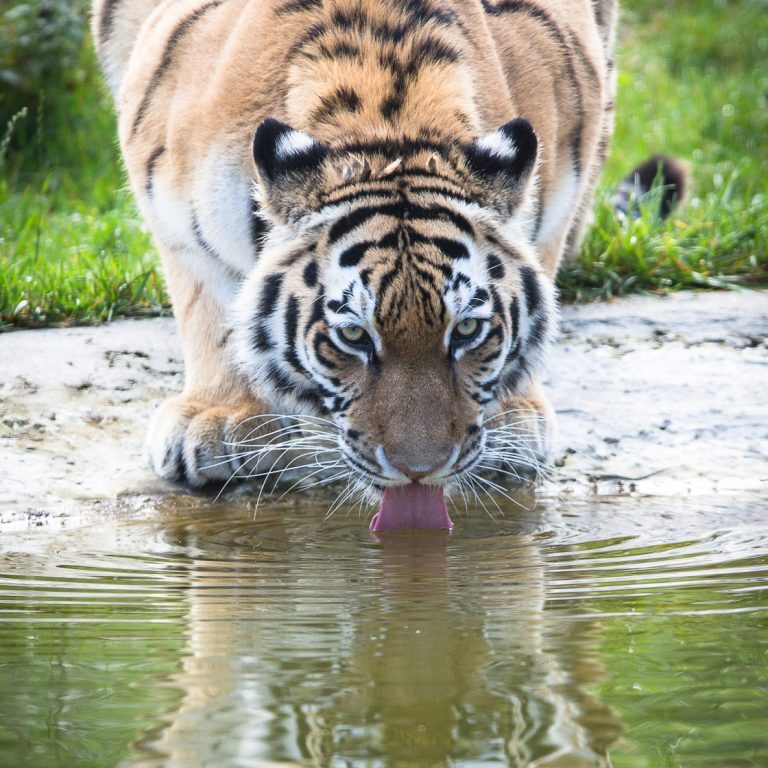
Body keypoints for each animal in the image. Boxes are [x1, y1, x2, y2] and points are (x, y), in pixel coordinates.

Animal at [92, 0, 680, 529]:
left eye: (467, 331)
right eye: (353, 337)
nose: (419, 470)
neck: (388, 127)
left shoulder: (562, 170)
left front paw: (512, 418)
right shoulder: (169, 200)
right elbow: (210, 308)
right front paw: (219, 421)